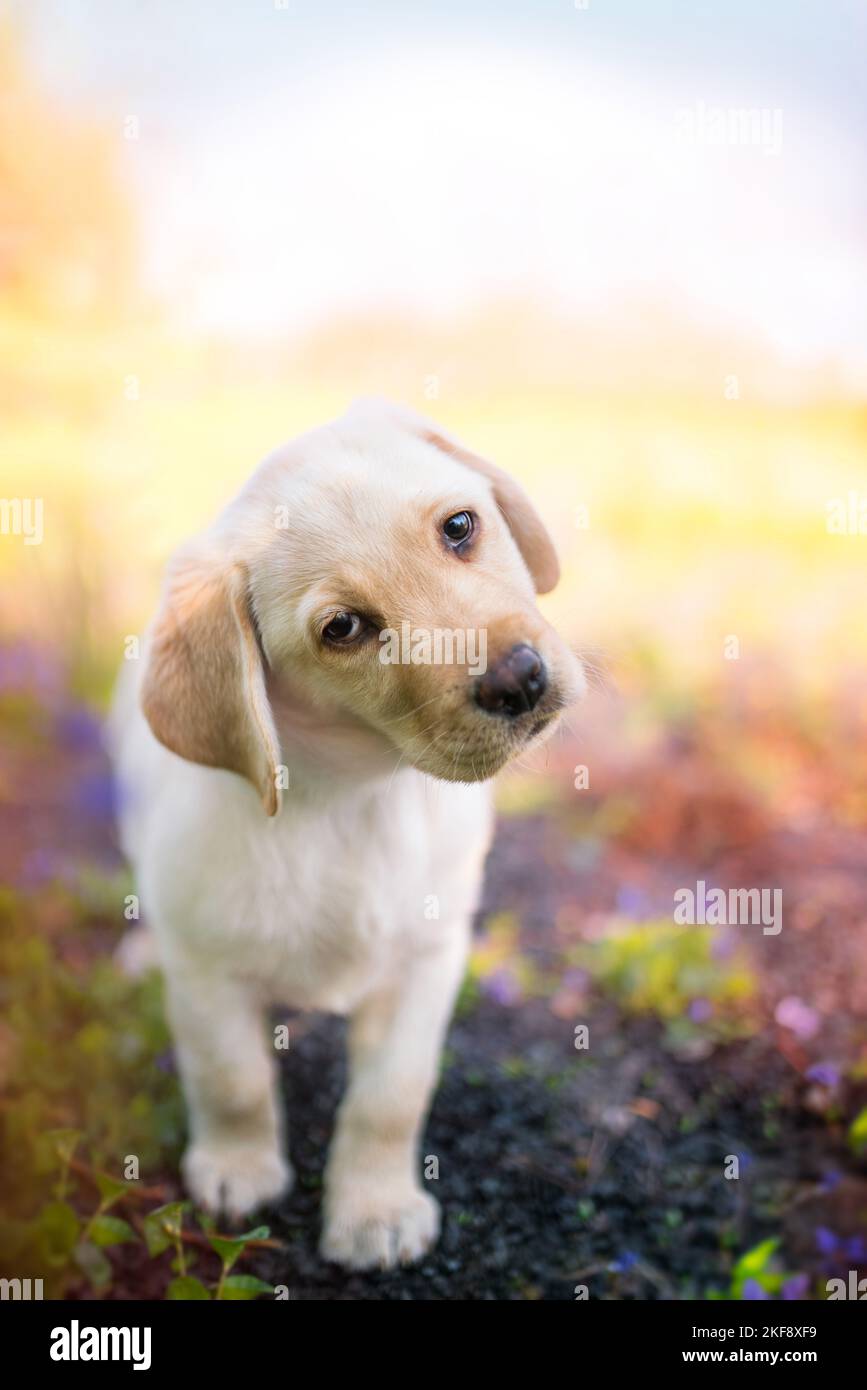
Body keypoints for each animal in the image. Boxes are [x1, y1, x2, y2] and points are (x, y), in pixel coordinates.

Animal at [108, 400, 583, 1273]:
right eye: (344, 629)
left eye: (460, 528)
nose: (521, 679)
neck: (355, 799)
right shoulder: (206, 971)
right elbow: (231, 1078)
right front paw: (238, 1169)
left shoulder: (427, 961)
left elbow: (390, 1098)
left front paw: (375, 1210)